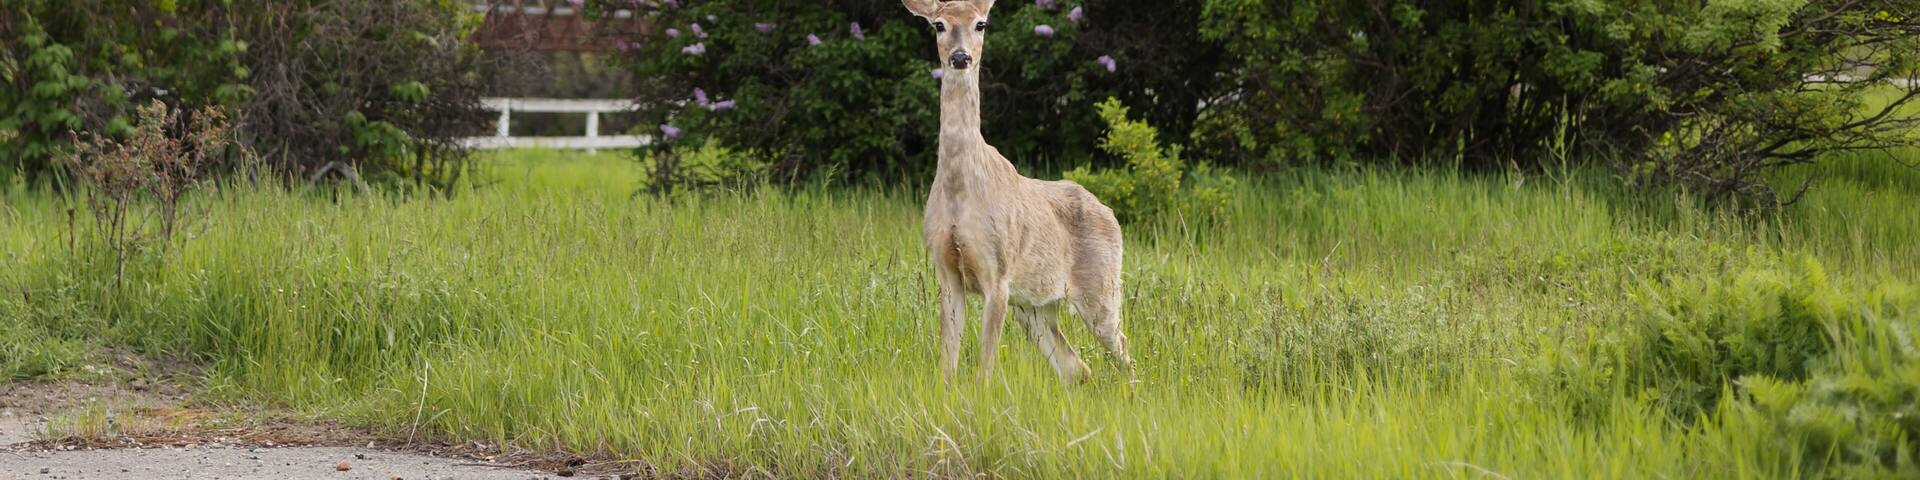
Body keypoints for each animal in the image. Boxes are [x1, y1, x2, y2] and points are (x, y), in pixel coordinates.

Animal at [902, 0, 1132, 384]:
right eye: (939, 25)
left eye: (981, 24)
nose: (961, 57)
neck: (960, 191)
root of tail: (1110, 213)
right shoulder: (948, 273)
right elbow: (947, 362)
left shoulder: (998, 272)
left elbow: (985, 364)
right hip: (1034, 306)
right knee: (1075, 366)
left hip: (1101, 285)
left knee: (1123, 350)